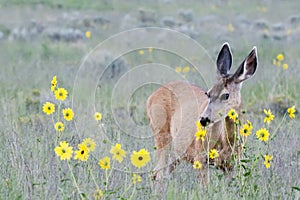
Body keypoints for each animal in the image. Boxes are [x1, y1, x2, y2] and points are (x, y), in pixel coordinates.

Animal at [147, 42, 258, 191]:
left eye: (226, 95)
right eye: (208, 93)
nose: (203, 119)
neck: (226, 142)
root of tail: (151, 96)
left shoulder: (232, 163)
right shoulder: (200, 156)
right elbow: (205, 188)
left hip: (177, 149)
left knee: (164, 172)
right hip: (161, 133)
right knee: (157, 173)